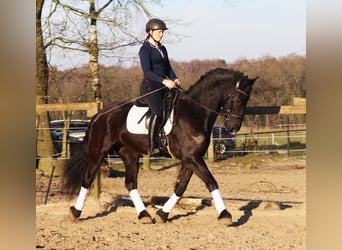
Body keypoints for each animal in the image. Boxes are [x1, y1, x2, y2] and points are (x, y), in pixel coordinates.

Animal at [62, 68, 258, 225]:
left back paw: (144, 215)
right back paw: (75, 213)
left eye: (247, 100)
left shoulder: (191, 159)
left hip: (130, 154)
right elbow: (211, 182)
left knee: (130, 183)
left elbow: (180, 187)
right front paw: (225, 215)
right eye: (238, 99)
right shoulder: (191, 158)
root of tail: (99, 115)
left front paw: (163, 214)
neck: (195, 112)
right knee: (87, 178)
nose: (234, 127)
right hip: (99, 152)